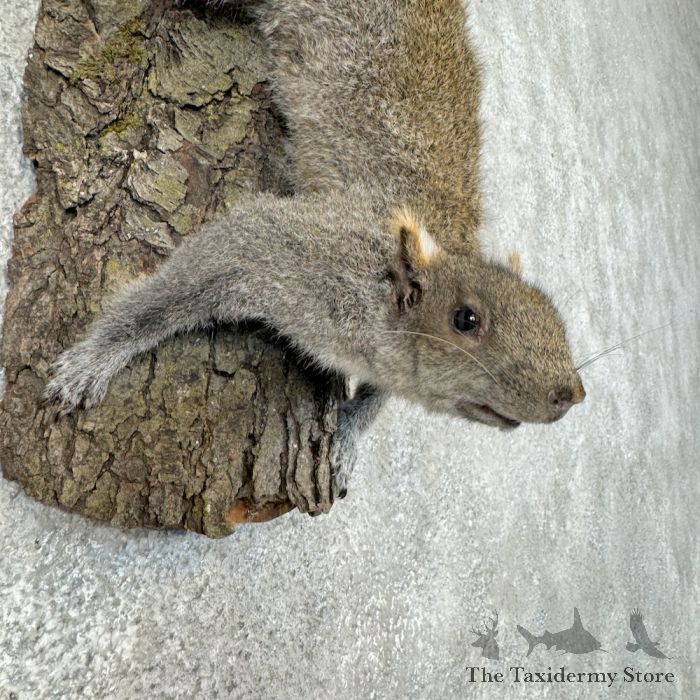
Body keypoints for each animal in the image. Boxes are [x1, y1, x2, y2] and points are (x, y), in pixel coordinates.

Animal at [44, 0, 586, 503]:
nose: (573, 395)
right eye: (466, 320)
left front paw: (345, 439)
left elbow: (374, 400)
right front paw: (97, 356)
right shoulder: (295, 248)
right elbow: (185, 281)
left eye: (553, 314)